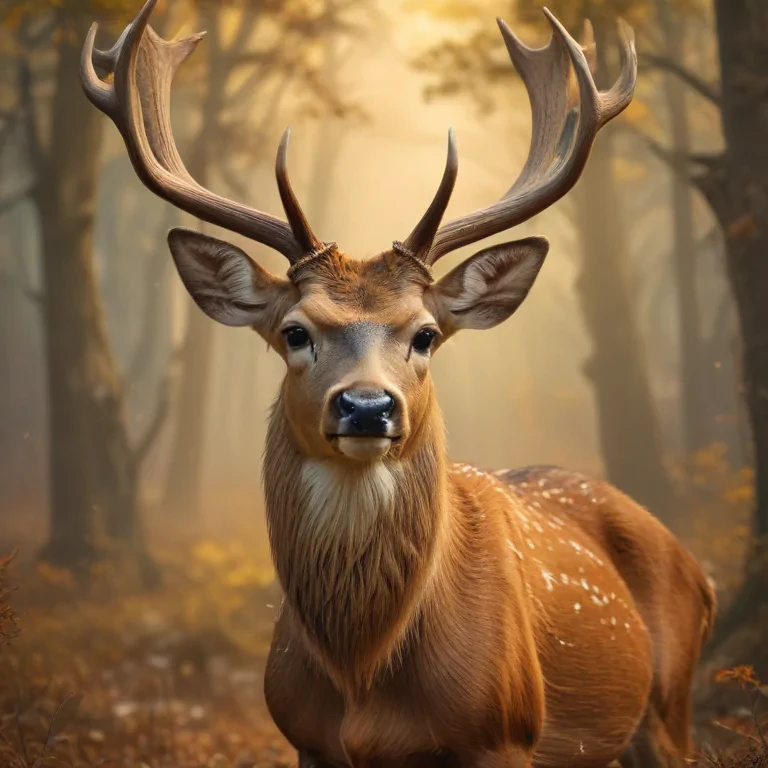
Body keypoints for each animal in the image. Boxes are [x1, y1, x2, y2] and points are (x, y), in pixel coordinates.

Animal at [81, 2, 716, 766]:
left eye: (425, 335)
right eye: (294, 332)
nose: (366, 405)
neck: (362, 678)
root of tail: (701, 572)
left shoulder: (504, 734)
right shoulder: (306, 737)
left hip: (668, 708)